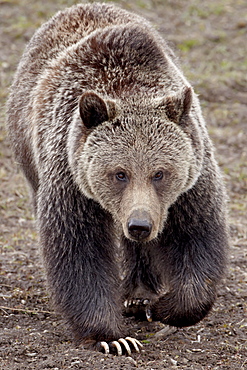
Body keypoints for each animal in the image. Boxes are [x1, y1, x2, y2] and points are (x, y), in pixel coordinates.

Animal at [7, 2, 228, 356]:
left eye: (159, 173)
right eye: (119, 173)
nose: (140, 224)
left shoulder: (190, 183)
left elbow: (197, 237)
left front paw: (163, 306)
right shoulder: (71, 179)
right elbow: (78, 252)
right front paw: (113, 337)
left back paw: (139, 295)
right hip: (28, 153)